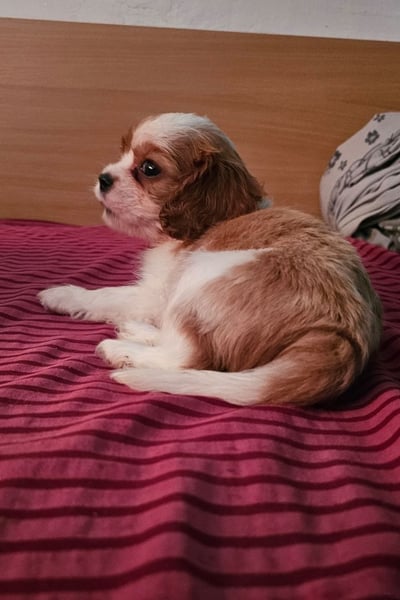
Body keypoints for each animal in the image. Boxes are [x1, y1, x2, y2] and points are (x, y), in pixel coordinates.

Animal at [39, 112, 382, 406]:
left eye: (149, 168)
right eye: (123, 150)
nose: (103, 178)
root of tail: (338, 341)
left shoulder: (157, 292)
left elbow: (110, 294)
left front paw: (63, 294)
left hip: (201, 276)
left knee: (185, 358)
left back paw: (122, 348)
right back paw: (137, 330)